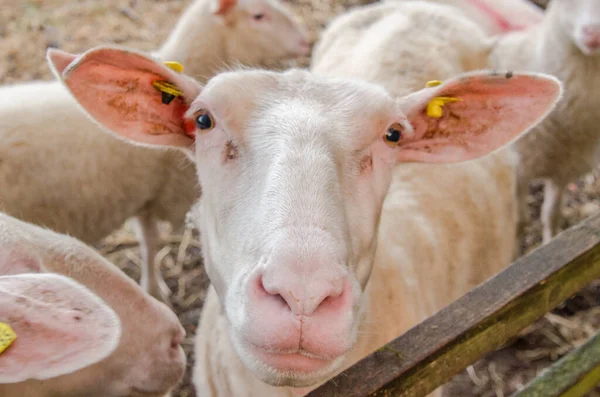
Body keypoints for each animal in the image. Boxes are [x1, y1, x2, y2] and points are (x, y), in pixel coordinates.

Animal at [488, 0, 600, 244]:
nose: (593, 34)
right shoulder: (518, 170)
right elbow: (519, 222)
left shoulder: (564, 170)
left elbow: (551, 214)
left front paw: (550, 241)